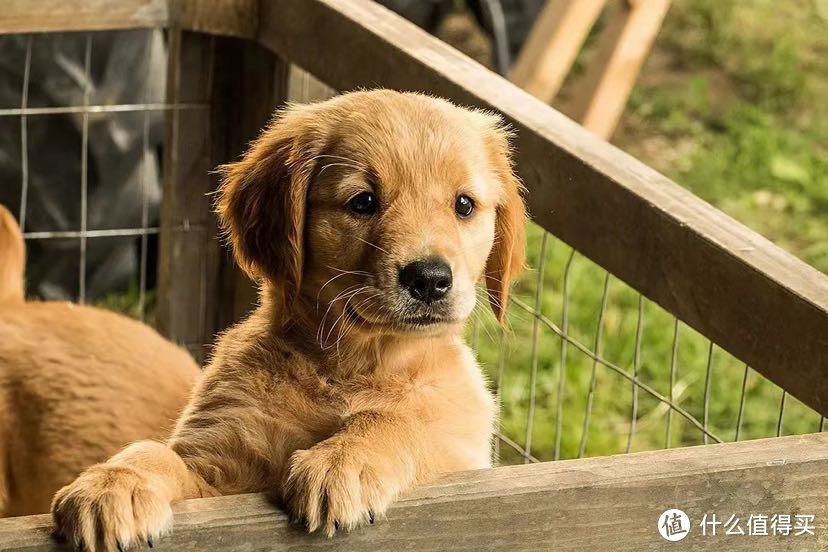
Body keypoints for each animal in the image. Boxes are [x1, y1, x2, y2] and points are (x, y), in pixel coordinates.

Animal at [51, 88, 524, 548]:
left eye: (464, 205)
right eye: (363, 202)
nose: (430, 279)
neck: (354, 365)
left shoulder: (462, 454)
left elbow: (398, 419)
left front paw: (340, 461)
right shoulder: (217, 470)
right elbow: (156, 452)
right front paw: (113, 484)